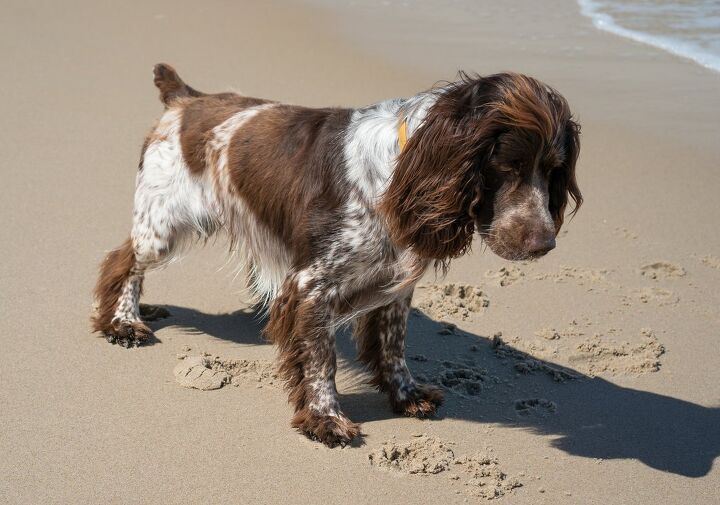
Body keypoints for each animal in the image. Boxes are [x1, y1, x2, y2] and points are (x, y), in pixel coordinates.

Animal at [93, 63, 584, 444]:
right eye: (507, 166)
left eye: (554, 171)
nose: (544, 244)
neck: (403, 168)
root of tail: (186, 99)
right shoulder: (312, 285)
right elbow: (320, 359)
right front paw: (325, 418)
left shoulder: (393, 284)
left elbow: (393, 346)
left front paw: (406, 396)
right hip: (163, 225)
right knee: (122, 262)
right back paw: (123, 322)